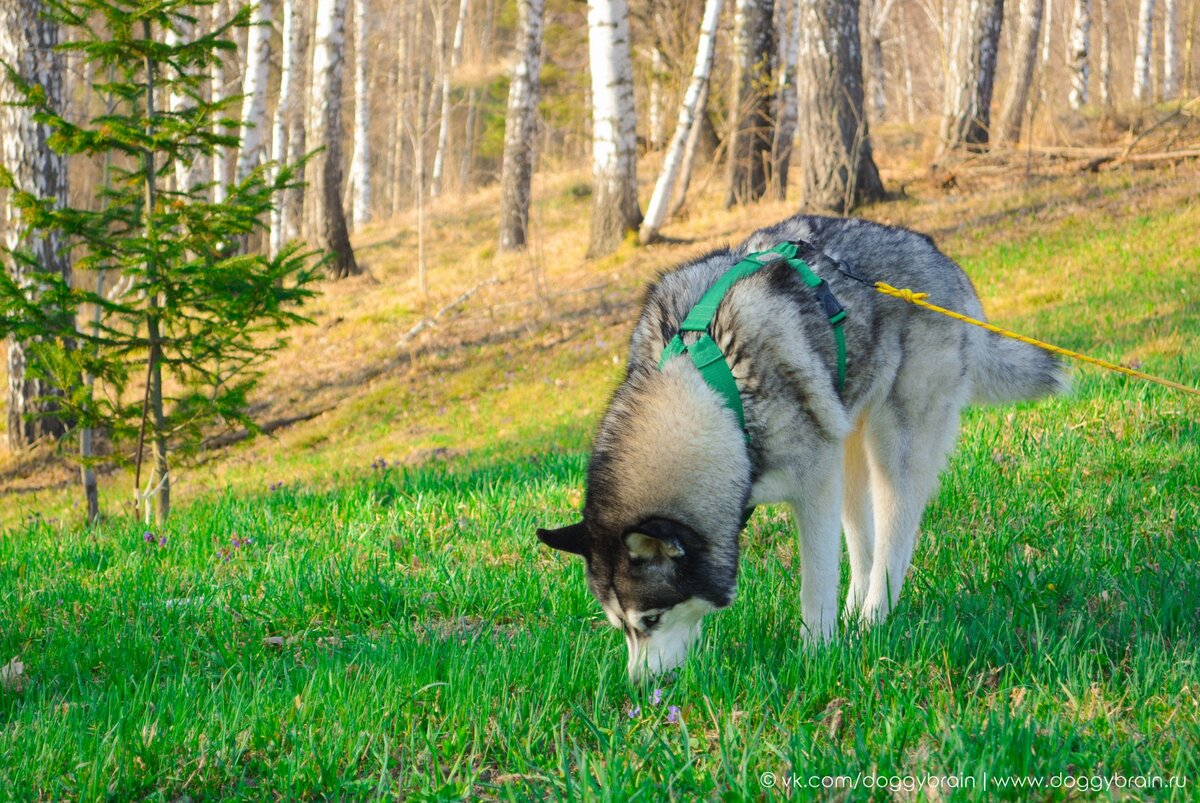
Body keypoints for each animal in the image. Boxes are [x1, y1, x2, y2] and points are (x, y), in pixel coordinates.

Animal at [540, 216, 1065, 681]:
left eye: (650, 620)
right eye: (621, 627)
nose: (641, 687)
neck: (709, 385)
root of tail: (942, 259)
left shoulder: (813, 490)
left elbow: (815, 585)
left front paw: (816, 655)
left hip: (894, 443)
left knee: (895, 533)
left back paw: (873, 619)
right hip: (845, 445)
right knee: (863, 539)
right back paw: (856, 613)